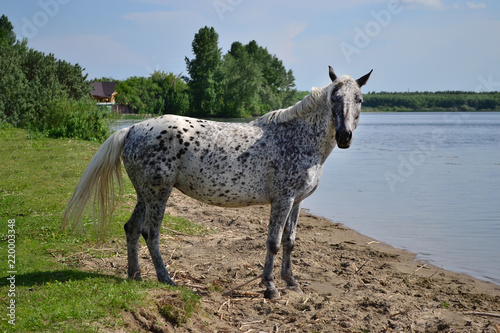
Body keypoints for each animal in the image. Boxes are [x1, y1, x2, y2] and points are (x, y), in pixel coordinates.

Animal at [63, 65, 372, 298]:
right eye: (334, 98)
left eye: (359, 99)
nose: (344, 136)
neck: (297, 138)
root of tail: (132, 129)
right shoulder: (282, 200)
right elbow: (273, 242)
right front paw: (270, 287)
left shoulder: (296, 202)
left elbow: (289, 241)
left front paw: (291, 281)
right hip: (159, 193)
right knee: (150, 233)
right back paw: (166, 279)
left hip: (145, 194)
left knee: (131, 228)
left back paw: (135, 276)